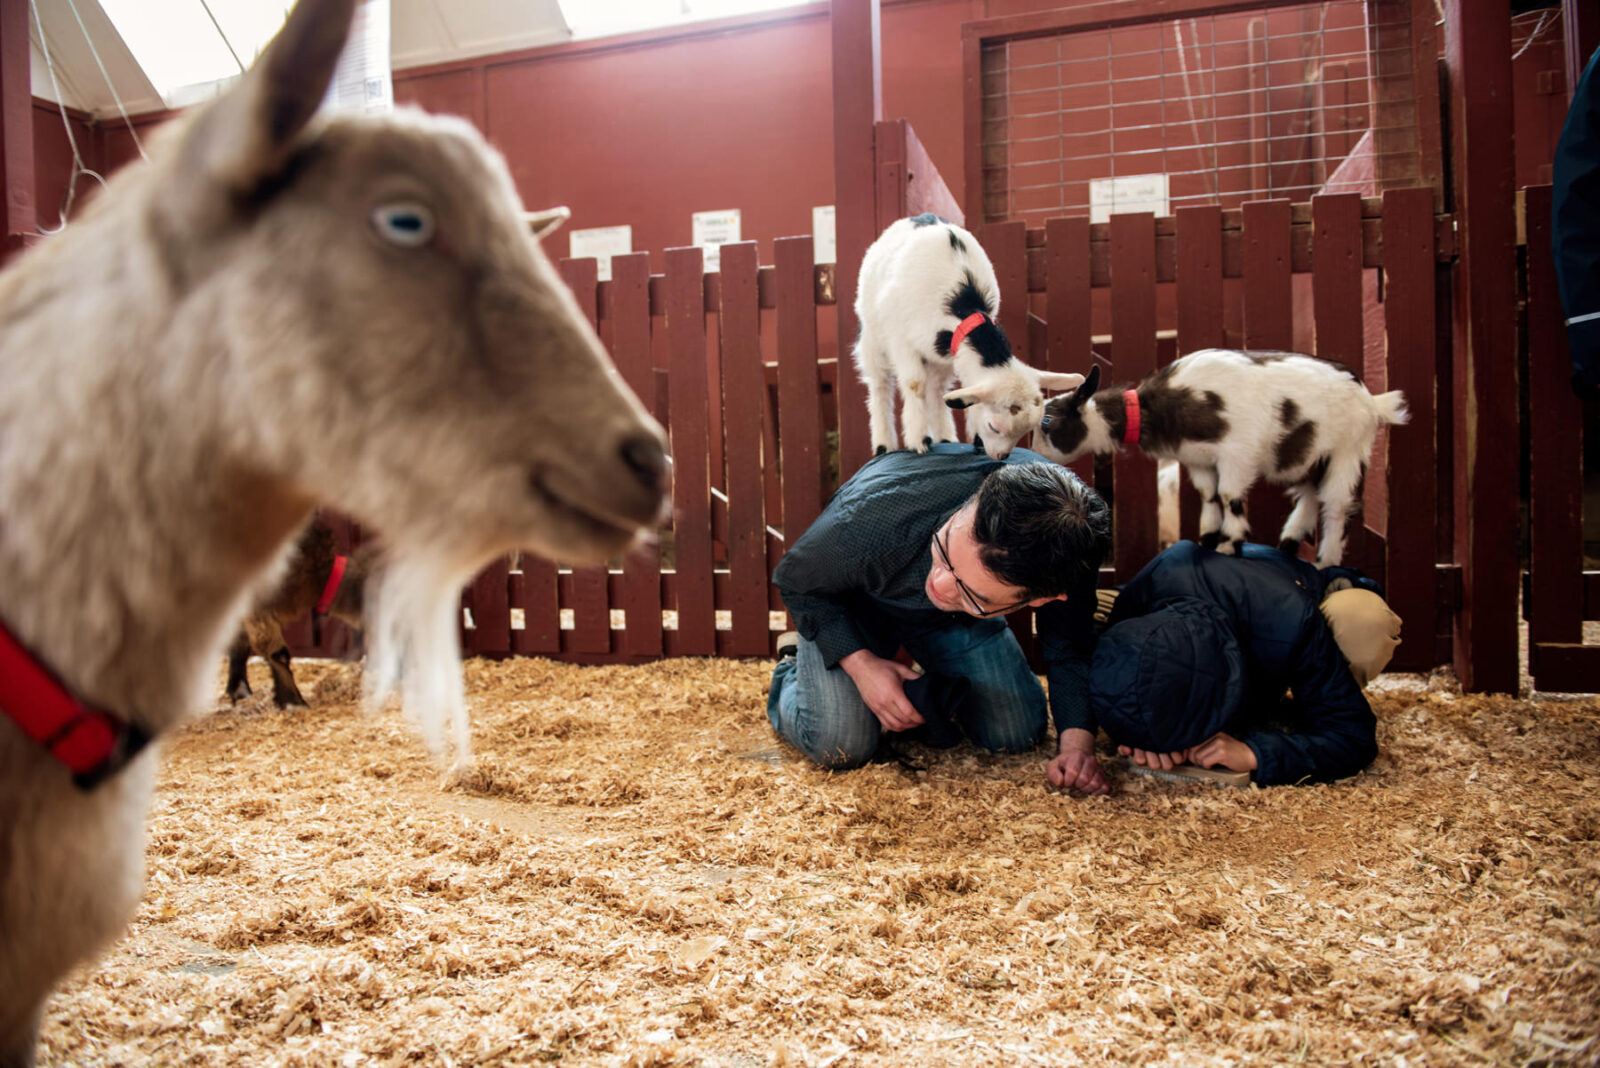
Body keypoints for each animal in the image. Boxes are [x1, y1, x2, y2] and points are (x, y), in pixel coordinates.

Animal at [1030, 350, 1408, 565]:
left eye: (1047, 421)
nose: (1033, 454)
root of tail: (1373, 401)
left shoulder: (1235, 454)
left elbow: (1229, 497)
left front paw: (1231, 544)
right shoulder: (1200, 460)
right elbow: (1209, 496)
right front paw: (1208, 539)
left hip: (1347, 452)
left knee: (1337, 507)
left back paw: (1326, 563)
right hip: (1308, 455)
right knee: (1311, 496)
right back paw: (1289, 542)